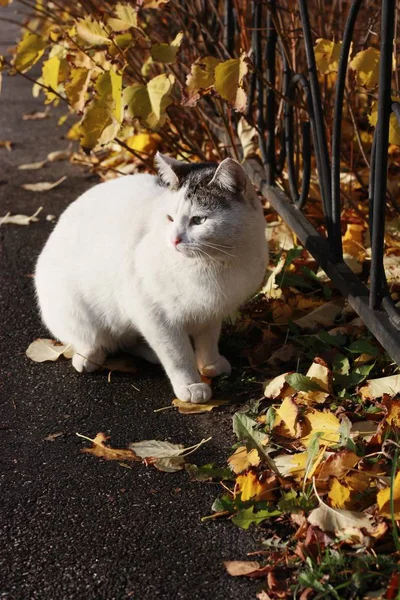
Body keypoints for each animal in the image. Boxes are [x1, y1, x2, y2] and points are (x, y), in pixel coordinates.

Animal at [35, 154, 268, 404]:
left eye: (199, 220)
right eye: (170, 218)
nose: (174, 240)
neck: (214, 262)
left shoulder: (211, 311)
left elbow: (208, 340)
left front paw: (210, 365)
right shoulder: (154, 314)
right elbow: (178, 355)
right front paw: (191, 385)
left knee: (129, 341)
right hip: (75, 311)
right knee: (94, 340)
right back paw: (89, 357)